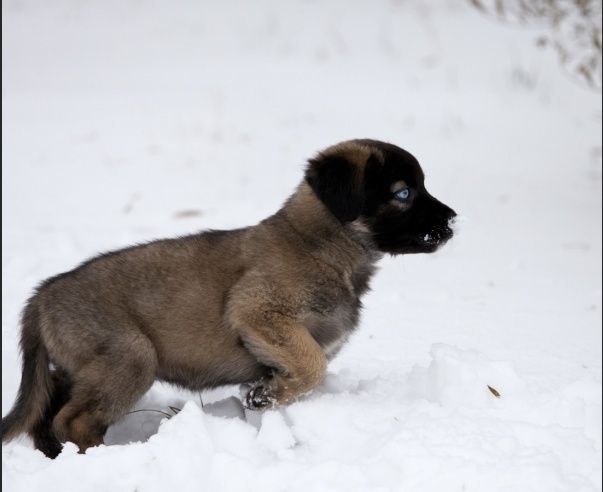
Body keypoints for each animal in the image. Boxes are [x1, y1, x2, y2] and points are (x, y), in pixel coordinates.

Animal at [1, 138, 458, 458]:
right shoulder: (257, 310)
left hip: (80, 368)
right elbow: (313, 365)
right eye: (403, 193)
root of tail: (42, 296)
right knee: (73, 420)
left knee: (46, 411)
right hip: (131, 355)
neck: (321, 245)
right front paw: (263, 396)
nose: (453, 221)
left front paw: (266, 394)